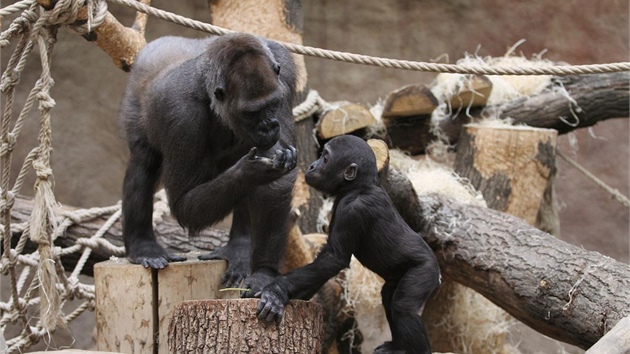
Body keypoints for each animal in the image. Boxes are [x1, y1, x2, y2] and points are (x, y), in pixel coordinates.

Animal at [260, 134, 442, 352]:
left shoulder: (352, 211)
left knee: (403, 307)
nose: (312, 166)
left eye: (325, 158)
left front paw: (277, 290)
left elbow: (334, 258)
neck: (358, 186)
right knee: (389, 296)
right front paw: (292, 294)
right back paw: (397, 346)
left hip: (425, 270)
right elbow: (325, 262)